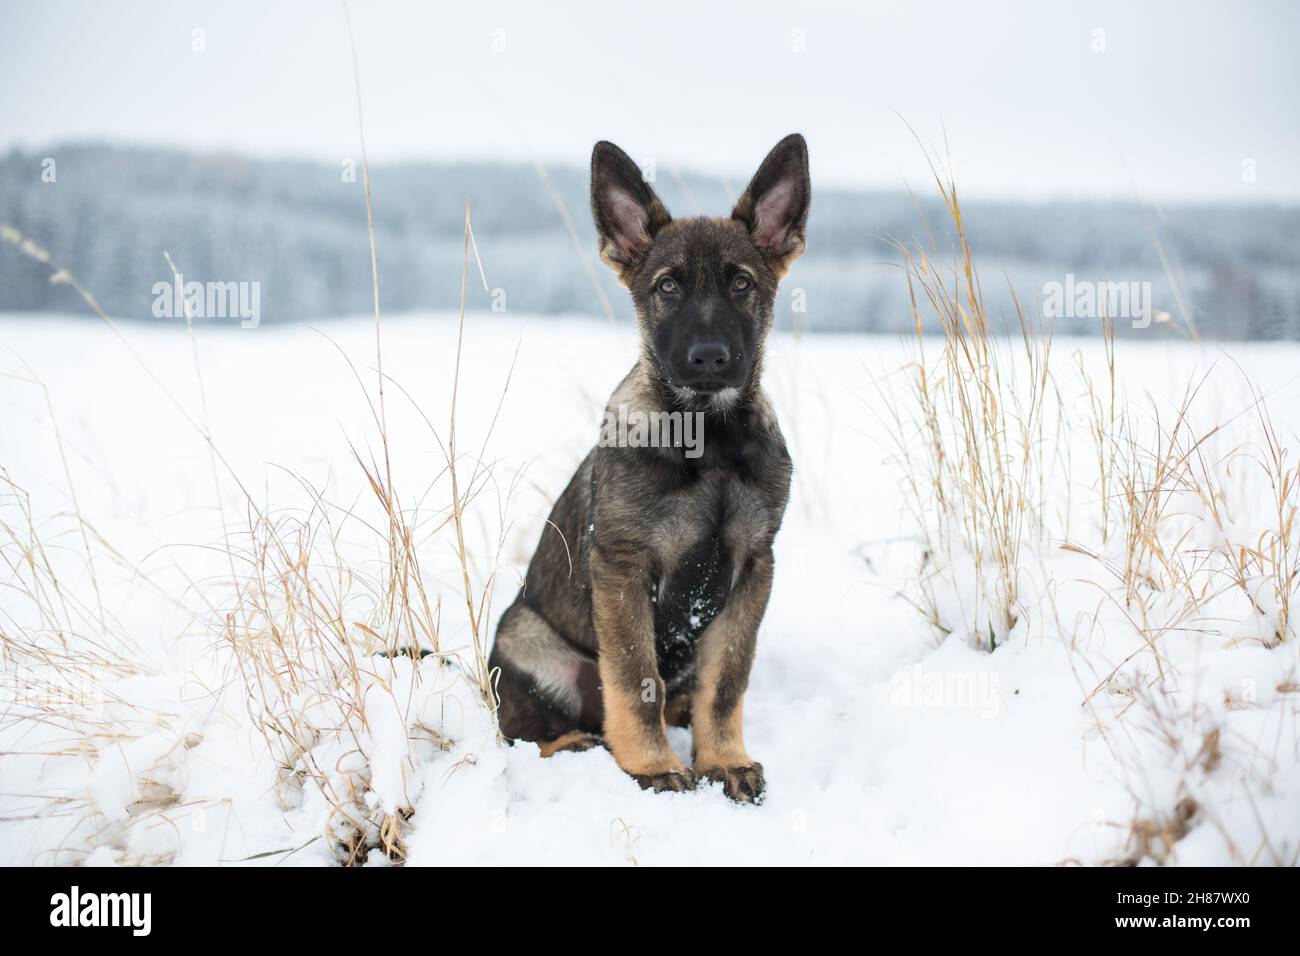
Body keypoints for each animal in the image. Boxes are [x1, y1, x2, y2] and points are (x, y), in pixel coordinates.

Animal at [491, 132, 806, 801]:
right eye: (667, 287)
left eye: (742, 285)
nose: (709, 357)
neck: (709, 440)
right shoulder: (624, 568)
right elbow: (636, 679)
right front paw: (654, 765)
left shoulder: (753, 568)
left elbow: (726, 683)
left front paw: (723, 759)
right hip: (526, 641)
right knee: (524, 730)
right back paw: (578, 742)